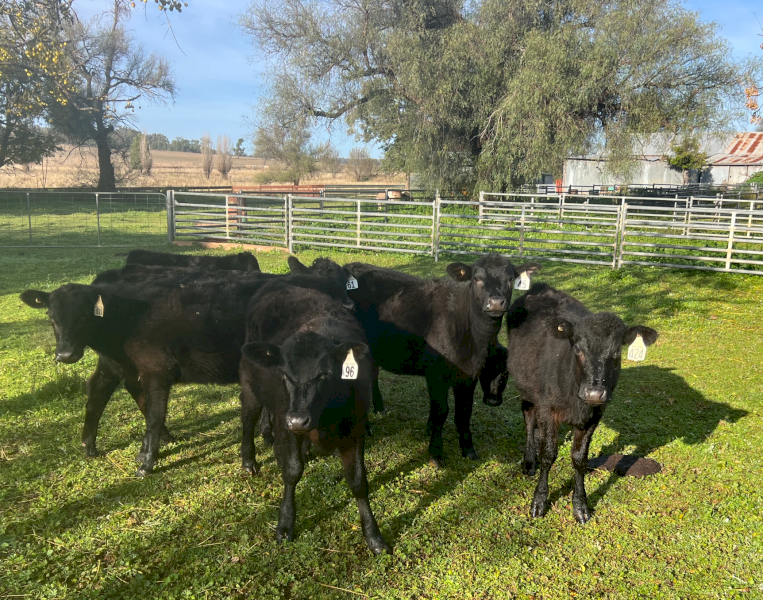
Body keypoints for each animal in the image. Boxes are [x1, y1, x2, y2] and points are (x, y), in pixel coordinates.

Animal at [19, 258, 353, 475]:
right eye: (51, 317)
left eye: (83, 315)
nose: (64, 354)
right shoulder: (155, 368)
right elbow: (154, 413)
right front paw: (147, 460)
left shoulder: (154, 368)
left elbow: (153, 413)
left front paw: (147, 456)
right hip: (117, 364)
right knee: (103, 390)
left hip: (116, 363)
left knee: (103, 389)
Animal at [239, 282, 390, 554]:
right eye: (285, 374)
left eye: (324, 374)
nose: (298, 420)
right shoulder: (285, 423)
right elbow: (291, 471)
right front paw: (285, 524)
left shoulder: (355, 429)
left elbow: (358, 480)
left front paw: (374, 536)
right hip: (249, 384)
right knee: (248, 419)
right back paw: (249, 459)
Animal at [343, 254, 541, 466]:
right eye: (477, 279)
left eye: (510, 279)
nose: (496, 303)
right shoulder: (436, 374)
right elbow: (441, 411)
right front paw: (436, 453)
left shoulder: (468, 375)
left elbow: (464, 412)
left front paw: (467, 449)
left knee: (372, 376)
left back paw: (379, 409)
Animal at [505, 283, 658, 523]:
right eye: (577, 348)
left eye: (617, 351)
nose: (594, 393)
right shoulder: (547, 409)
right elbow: (548, 454)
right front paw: (539, 501)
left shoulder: (594, 415)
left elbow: (579, 458)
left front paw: (580, 506)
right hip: (527, 388)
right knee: (529, 418)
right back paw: (529, 461)